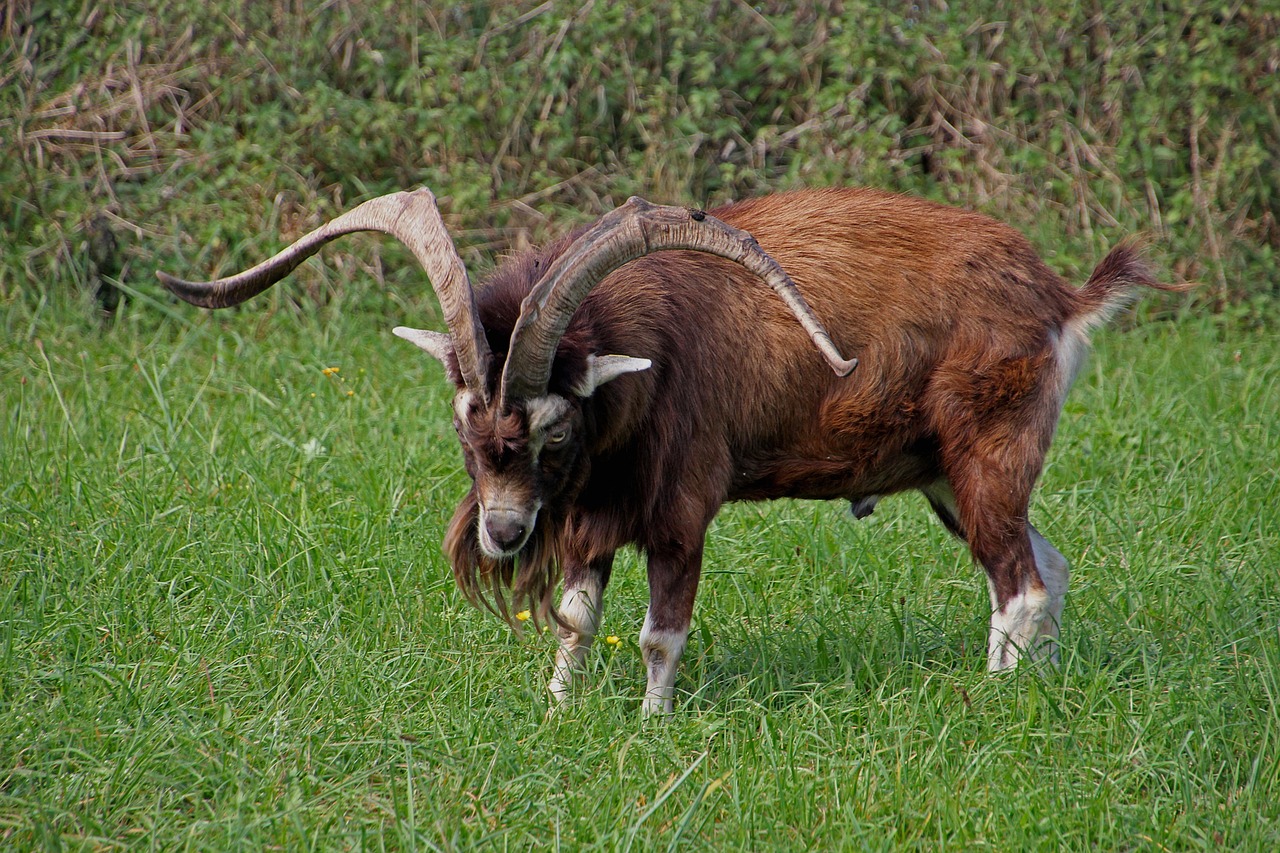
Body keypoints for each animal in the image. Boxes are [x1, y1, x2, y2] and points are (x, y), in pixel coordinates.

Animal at [160, 186, 1181, 715]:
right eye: (463, 427)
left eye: (553, 427)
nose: (501, 534)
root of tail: (1058, 295)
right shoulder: (589, 518)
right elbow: (576, 619)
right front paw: (560, 710)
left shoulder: (681, 509)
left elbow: (661, 628)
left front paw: (652, 724)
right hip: (945, 478)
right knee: (1044, 565)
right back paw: (1038, 685)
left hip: (987, 452)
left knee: (1021, 581)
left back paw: (997, 700)